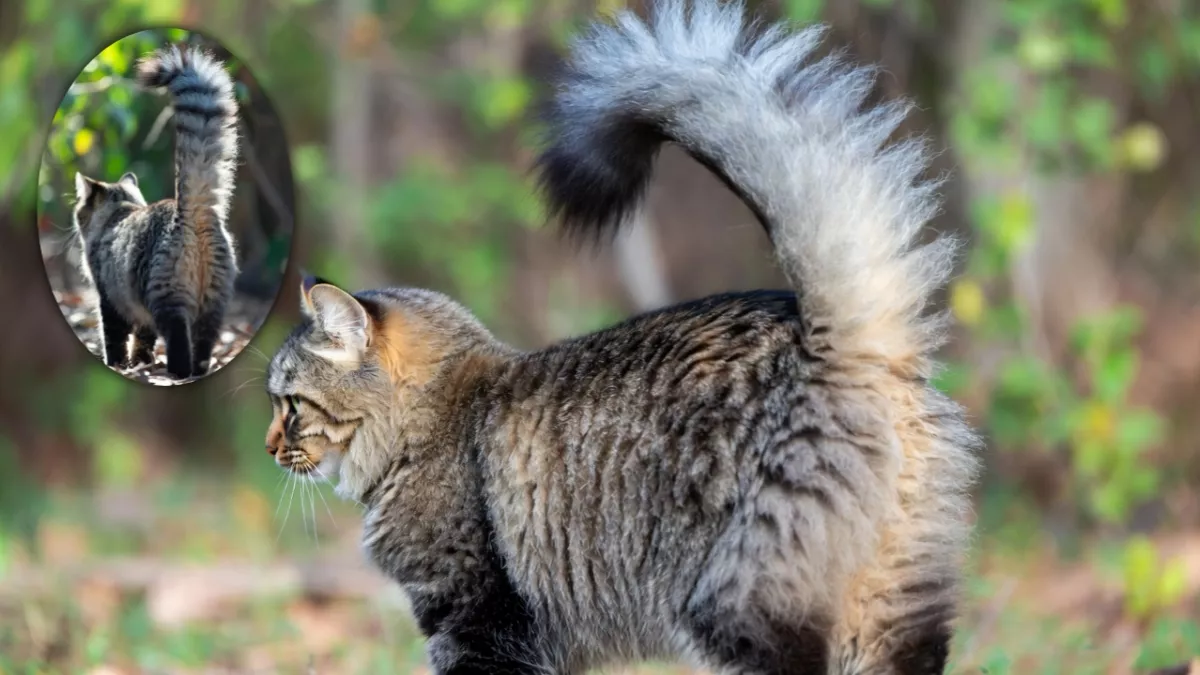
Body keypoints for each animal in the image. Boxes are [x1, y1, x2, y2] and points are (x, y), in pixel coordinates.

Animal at [72, 43, 239, 379]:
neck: (120, 211)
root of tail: (192, 212)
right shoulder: (137, 311)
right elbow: (142, 338)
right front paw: (141, 361)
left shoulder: (109, 299)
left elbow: (115, 339)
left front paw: (120, 365)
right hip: (214, 300)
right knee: (204, 344)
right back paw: (197, 370)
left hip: (167, 297)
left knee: (179, 342)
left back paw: (177, 372)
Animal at [264, 0, 981, 672]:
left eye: (289, 403)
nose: (270, 445)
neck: (428, 422)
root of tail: (845, 340)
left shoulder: (475, 621)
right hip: (885, 615)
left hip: (738, 602)